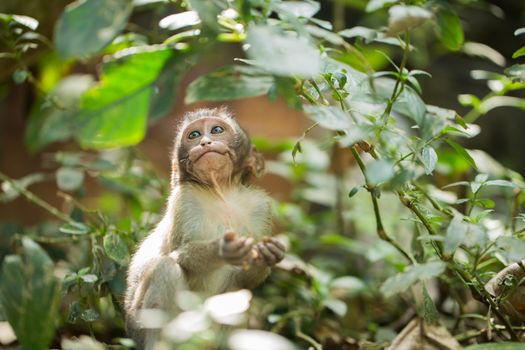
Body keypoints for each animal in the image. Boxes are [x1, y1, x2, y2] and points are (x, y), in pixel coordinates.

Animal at [124, 108, 284, 348]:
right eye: (194, 135)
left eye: (216, 130)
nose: (205, 142)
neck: (222, 194)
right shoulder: (185, 198)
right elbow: (179, 256)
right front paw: (223, 249)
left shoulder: (261, 207)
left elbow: (243, 282)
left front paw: (266, 256)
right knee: (166, 269)